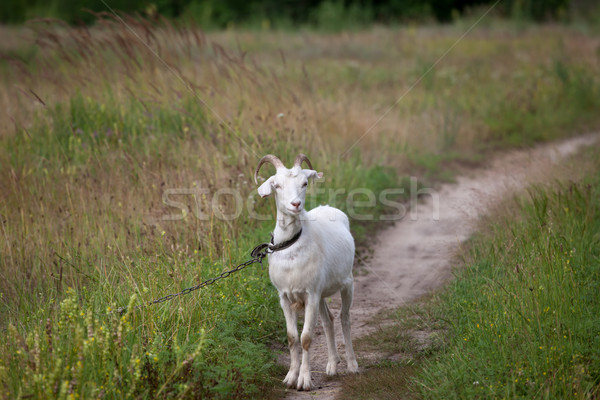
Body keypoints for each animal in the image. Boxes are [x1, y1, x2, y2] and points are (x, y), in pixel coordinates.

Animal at [253, 153, 356, 390]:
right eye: (277, 185)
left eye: (304, 183)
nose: (296, 204)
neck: (292, 246)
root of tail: (329, 208)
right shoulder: (284, 297)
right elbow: (292, 337)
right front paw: (290, 377)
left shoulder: (311, 294)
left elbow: (306, 337)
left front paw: (304, 380)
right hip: (322, 293)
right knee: (329, 320)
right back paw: (332, 365)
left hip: (347, 283)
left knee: (344, 318)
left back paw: (352, 364)